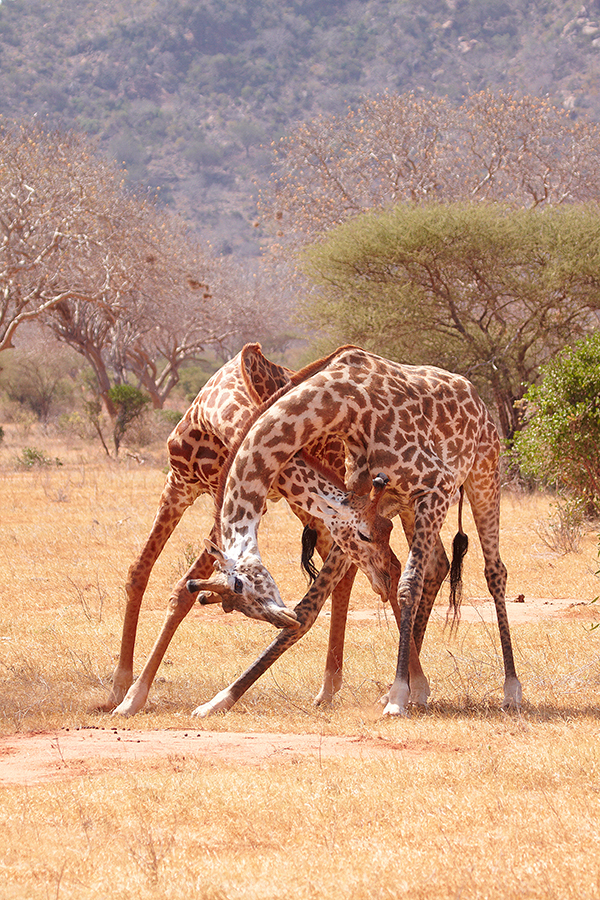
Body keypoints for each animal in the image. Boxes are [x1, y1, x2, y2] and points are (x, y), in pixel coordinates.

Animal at [108, 342, 434, 716]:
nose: (283, 619)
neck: (212, 412)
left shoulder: (238, 496)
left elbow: (181, 589)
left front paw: (134, 695)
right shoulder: (178, 485)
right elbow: (140, 572)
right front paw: (121, 689)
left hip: (315, 497)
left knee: (372, 569)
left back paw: (393, 684)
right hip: (308, 505)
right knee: (356, 570)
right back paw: (335, 685)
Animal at [188, 344, 520, 716]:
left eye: (241, 587)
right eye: (238, 606)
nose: (280, 619)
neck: (345, 403)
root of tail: (476, 396)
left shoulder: (434, 485)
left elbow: (407, 585)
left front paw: (399, 697)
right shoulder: (360, 507)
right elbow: (311, 605)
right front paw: (217, 701)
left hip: (482, 474)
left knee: (494, 571)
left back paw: (510, 690)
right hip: (413, 506)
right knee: (437, 565)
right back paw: (410, 689)